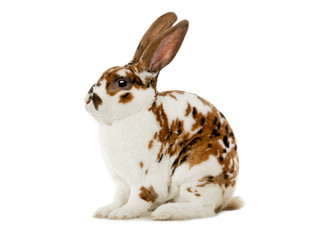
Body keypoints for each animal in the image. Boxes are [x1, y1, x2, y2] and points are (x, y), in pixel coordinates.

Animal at [84, 12, 244, 220]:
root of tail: (226, 198)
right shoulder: (121, 181)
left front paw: (122, 213)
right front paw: (105, 211)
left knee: (204, 208)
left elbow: (138, 198)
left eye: (121, 82)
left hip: (195, 176)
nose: (88, 100)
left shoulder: (143, 179)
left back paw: (165, 212)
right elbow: (119, 197)